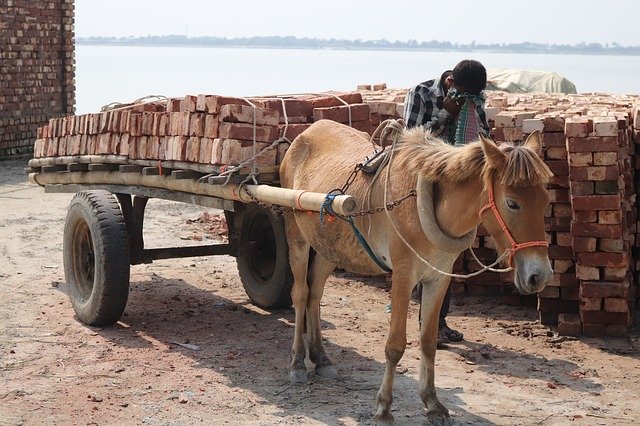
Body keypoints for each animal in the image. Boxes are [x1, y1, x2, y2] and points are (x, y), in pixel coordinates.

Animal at [280, 120, 556, 422]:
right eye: (512, 203)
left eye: (545, 200)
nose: (540, 276)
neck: (425, 204)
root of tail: (305, 134)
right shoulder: (403, 277)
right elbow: (395, 346)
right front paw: (383, 408)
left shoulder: (438, 279)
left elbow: (428, 341)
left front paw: (432, 402)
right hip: (296, 234)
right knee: (300, 294)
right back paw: (296, 363)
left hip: (329, 247)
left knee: (315, 294)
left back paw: (321, 358)